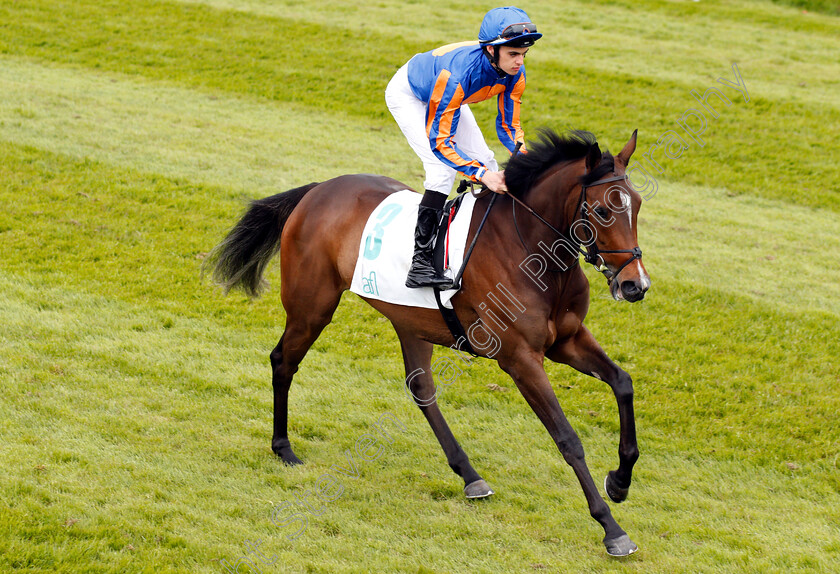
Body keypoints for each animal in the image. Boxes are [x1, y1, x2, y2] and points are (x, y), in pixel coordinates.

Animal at [208, 130, 648, 560]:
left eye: (638, 205)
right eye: (603, 211)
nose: (635, 285)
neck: (530, 248)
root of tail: (318, 190)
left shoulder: (568, 340)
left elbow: (622, 382)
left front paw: (620, 480)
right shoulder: (520, 358)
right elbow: (567, 438)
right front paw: (611, 529)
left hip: (408, 321)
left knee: (421, 388)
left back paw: (470, 476)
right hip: (311, 306)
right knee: (283, 361)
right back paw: (283, 447)